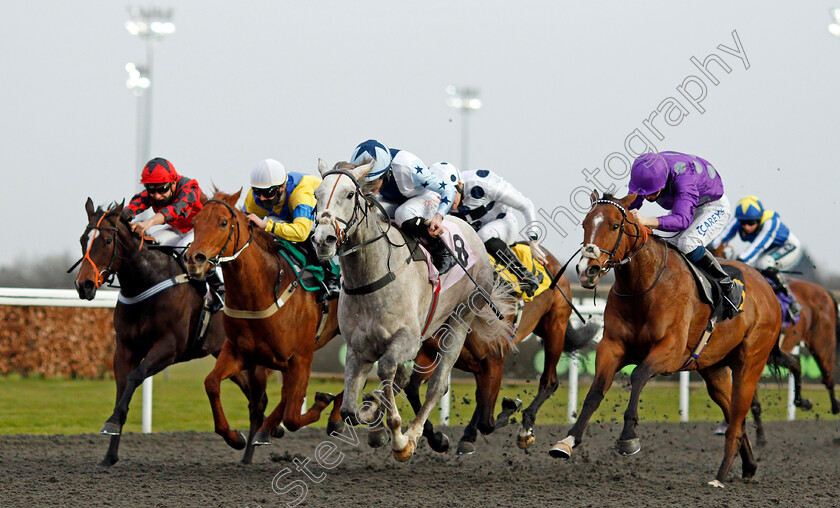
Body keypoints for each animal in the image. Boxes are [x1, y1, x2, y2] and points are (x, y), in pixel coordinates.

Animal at [73, 197, 253, 464]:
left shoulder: (169, 347)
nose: (83, 285)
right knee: (253, 396)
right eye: (83, 239)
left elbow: (136, 376)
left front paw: (112, 422)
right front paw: (109, 455)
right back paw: (246, 446)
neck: (146, 281)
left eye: (107, 241)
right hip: (225, 352)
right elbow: (122, 389)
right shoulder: (125, 349)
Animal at [183, 189, 342, 458]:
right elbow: (212, 383)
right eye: (194, 222)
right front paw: (235, 437)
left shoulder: (301, 357)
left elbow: (292, 417)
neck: (263, 291)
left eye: (223, 222)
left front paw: (322, 403)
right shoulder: (241, 352)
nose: (194, 259)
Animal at [312, 161, 516, 462]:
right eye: (317, 194)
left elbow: (387, 368)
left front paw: (398, 439)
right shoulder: (358, 349)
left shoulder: (407, 339)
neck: (371, 277)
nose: (323, 239)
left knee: (437, 385)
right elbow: (349, 410)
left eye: (349, 194)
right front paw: (373, 414)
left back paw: (415, 434)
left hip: (459, 321)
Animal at [552, 192, 780, 486]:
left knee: (739, 413)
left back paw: (719, 476)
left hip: (750, 364)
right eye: (585, 224)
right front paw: (567, 441)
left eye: (614, 226)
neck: (643, 288)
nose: (586, 270)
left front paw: (628, 438)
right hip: (715, 370)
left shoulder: (670, 351)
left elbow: (638, 374)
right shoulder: (612, 346)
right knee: (734, 417)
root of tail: (768, 288)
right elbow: (595, 392)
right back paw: (749, 466)